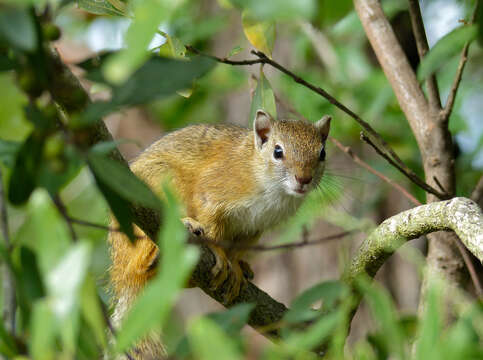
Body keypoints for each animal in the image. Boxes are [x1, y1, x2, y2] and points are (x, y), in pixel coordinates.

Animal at [108, 109, 330, 358]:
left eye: (322, 152)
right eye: (278, 151)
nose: (303, 179)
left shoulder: (255, 227)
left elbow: (239, 248)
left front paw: (235, 266)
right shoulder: (213, 192)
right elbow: (212, 226)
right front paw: (220, 255)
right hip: (161, 185)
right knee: (138, 262)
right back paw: (161, 246)